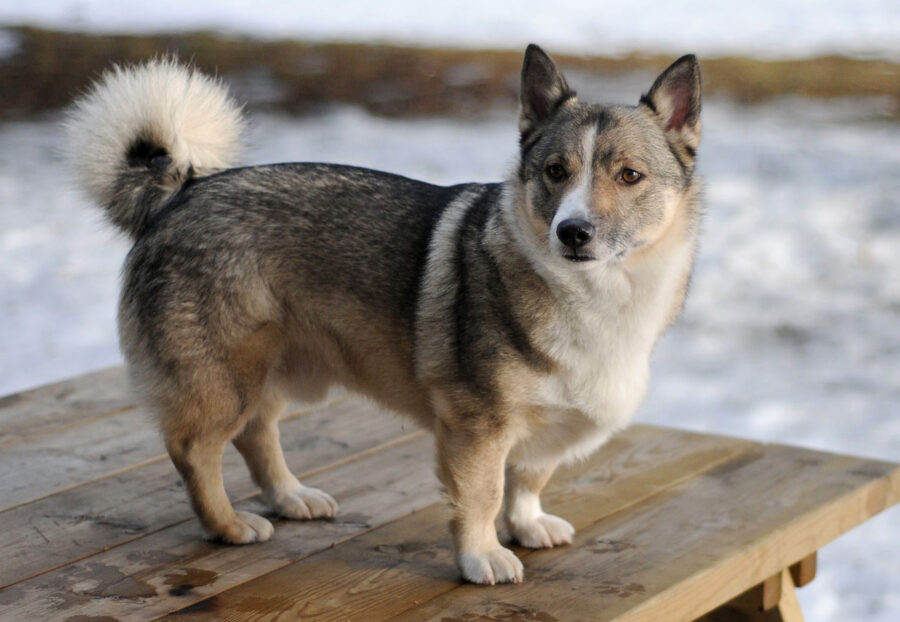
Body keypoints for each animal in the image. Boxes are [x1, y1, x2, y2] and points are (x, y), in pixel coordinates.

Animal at [68, 46, 704, 588]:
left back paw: (291, 496)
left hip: (276, 368)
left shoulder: (535, 428)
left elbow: (528, 478)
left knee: (257, 433)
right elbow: (482, 495)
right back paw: (228, 525)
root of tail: (181, 192)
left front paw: (526, 525)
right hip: (225, 377)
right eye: (555, 171)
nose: (572, 232)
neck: (597, 293)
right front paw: (482, 556)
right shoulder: (477, 426)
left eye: (629, 176)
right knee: (195, 450)